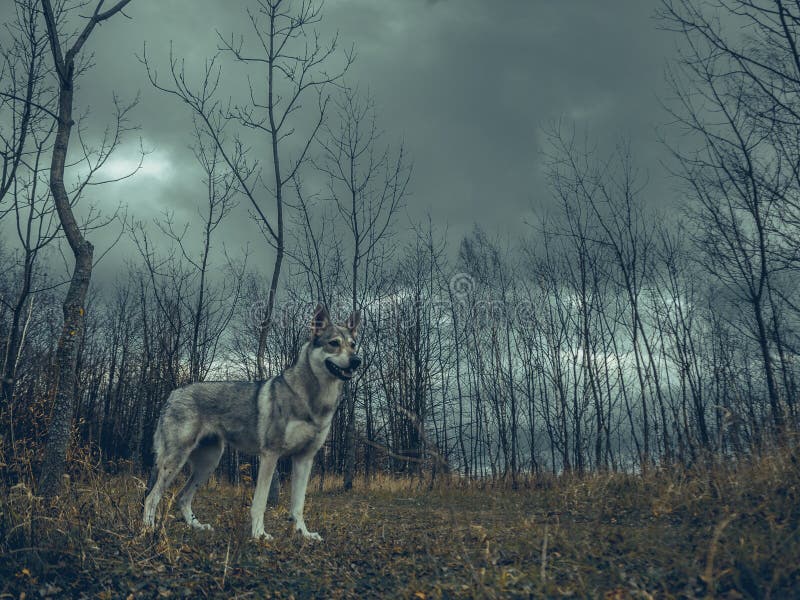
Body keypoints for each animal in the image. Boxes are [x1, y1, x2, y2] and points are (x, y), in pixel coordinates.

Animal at [142, 302, 360, 540]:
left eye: (353, 345)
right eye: (334, 343)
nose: (357, 361)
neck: (314, 400)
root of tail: (174, 393)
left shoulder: (304, 459)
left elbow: (298, 505)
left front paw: (304, 534)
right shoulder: (270, 455)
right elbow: (260, 503)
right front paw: (259, 535)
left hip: (208, 463)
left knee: (183, 497)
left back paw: (197, 526)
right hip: (176, 462)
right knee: (151, 497)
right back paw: (148, 529)